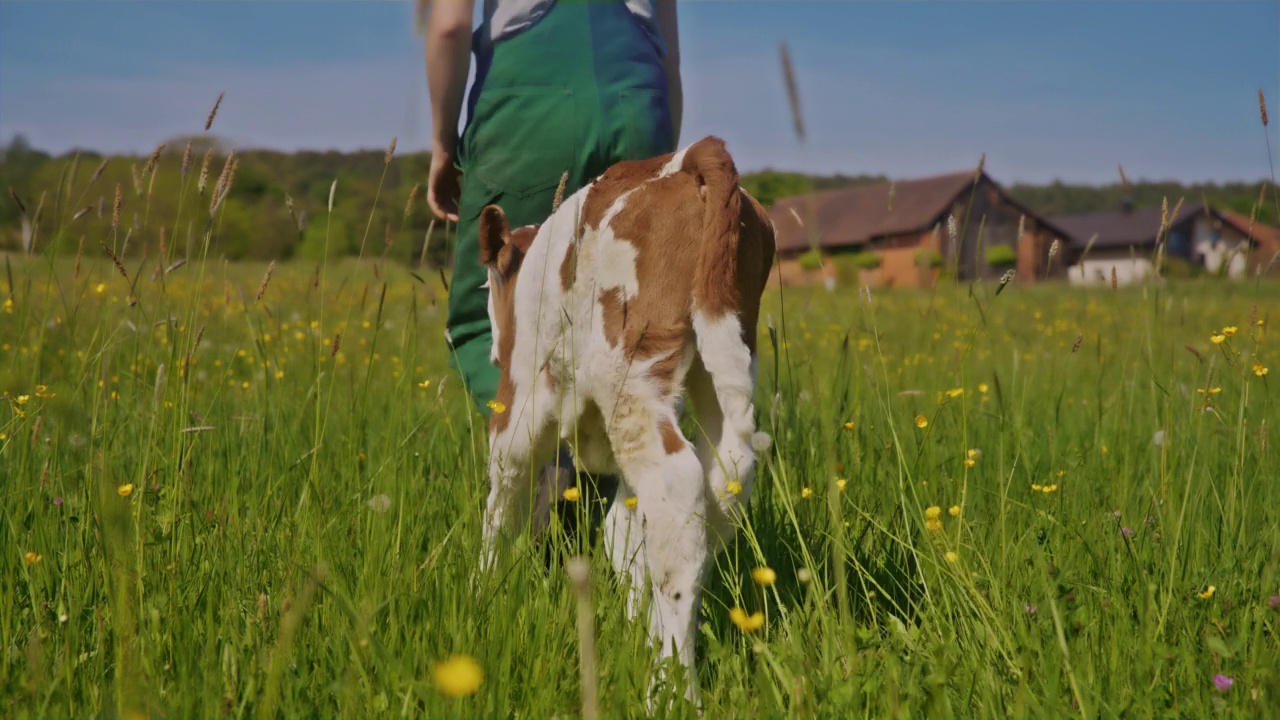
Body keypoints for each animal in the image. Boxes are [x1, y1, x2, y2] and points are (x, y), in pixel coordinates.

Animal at [476, 133, 773, 696]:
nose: (492, 352)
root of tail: (692, 157)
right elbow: (624, 535)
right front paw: (636, 628)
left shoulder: (521, 399)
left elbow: (504, 489)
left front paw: (482, 592)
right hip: (724, 355)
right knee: (725, 477)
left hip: (629, 376)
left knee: (677, 491)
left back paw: (671, 687)